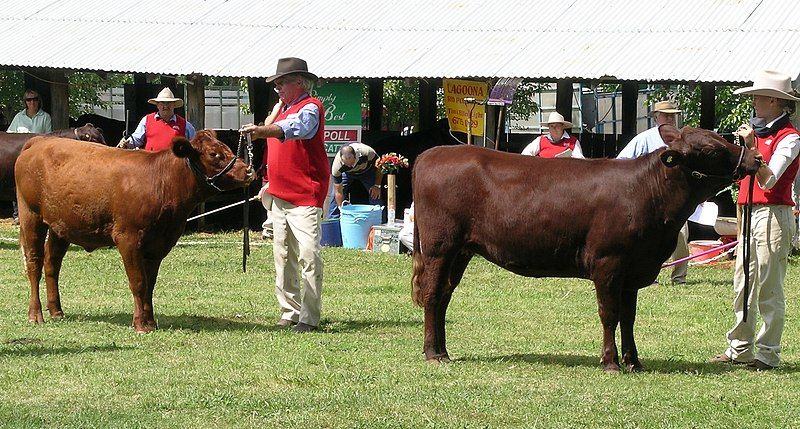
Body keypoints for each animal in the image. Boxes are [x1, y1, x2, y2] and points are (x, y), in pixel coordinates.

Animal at [15, 129, 255, 332]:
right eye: (214, 154)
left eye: (228, 148)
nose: (248, 171)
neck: (161, 182)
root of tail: (39, 141)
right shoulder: (128, 238)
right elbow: (138, 282)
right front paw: (141, 324)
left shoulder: (159, 243)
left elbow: (150, 284)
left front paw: (151, 321)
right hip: (31, 215)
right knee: (34, 263)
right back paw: (35, 314)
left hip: (60, 226)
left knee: (52, 265)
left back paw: (56, 311)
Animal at [412, 124, 764, 372]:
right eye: (710, 149)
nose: (756, 158)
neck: (647, 192)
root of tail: (430, 154)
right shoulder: (609, 261)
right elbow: (609, 314)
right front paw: (610, 362)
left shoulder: (634, 269)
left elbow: (628, 317)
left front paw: (634, 361)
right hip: (440, 247)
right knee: (432, 294)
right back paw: (432, 353)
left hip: (461, 251)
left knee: (444, 296)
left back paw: (443, 351)